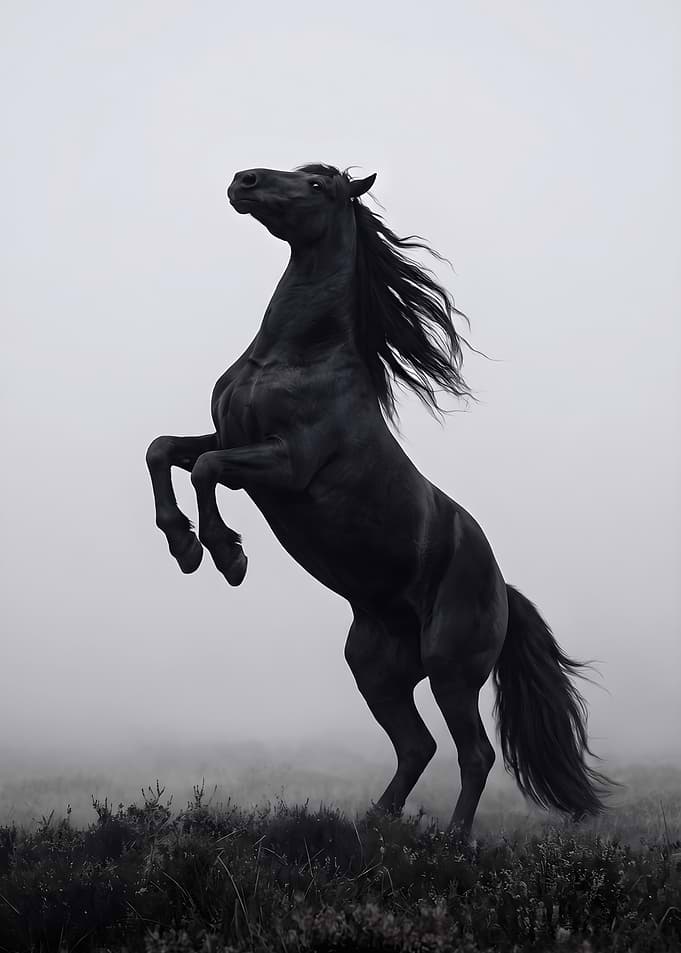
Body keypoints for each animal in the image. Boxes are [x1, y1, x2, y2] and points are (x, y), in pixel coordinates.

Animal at [146, 163, 611, 836]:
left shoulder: (284, 463)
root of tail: (502, 587)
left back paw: (452, 842)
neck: (294, 357)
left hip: (451, 668)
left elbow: (205, 468)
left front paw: (225, 555)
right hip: (375, 667)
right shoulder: (229, 439)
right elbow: (163, 450)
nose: (243, 180)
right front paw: (182, 545)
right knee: (418, 745)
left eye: (318, 186)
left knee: (474, 752)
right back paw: (371, 825)